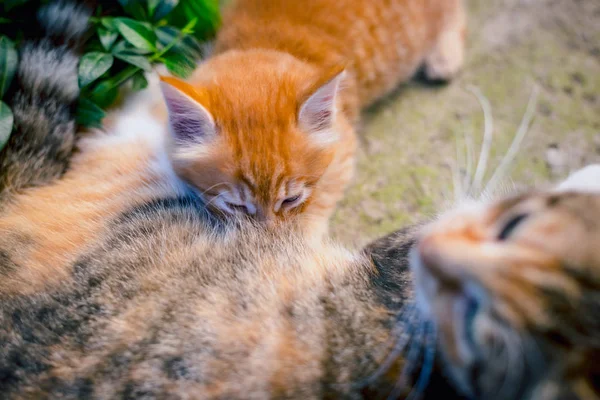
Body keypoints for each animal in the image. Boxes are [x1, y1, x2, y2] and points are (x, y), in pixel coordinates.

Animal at [157, 0, 466, 234]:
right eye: (236, 206)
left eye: (291, 199)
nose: (268, 236)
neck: (266, 41)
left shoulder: (343, 145)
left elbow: (321, 200)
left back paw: (445, 53)